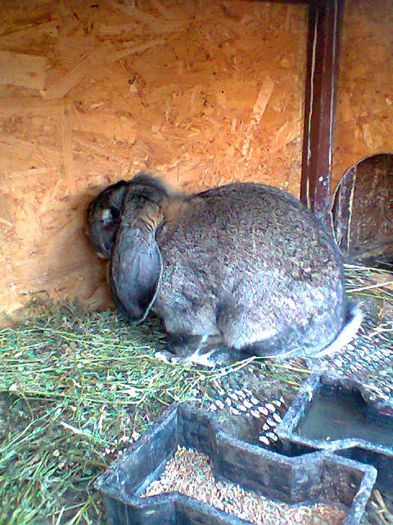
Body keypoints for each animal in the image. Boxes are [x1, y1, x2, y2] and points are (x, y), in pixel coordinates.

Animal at [86, 172, 362, 364]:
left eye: (109, 215)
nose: (86, 227)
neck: (162, 231)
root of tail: (327, 335)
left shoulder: (185, 310)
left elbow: (187, 338)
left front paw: (171, 356)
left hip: (245, 317)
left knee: (252, 351)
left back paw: (211, 356)